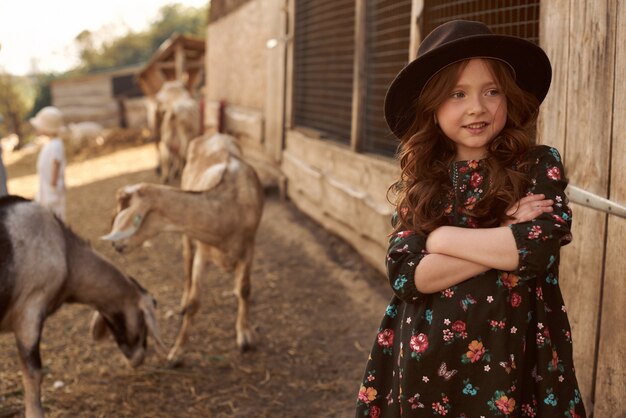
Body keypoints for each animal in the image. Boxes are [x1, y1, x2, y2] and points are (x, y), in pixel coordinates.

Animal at [102, 134, 264, 362]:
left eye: (125, 210)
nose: (115, 244)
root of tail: (214, 134)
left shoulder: (249, 247)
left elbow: (245, 289)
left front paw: (244, 335)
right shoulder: (202, 251)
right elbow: (194, 303)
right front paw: (176, 353)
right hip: (188, 239)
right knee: (187, 263)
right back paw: (183, 299)